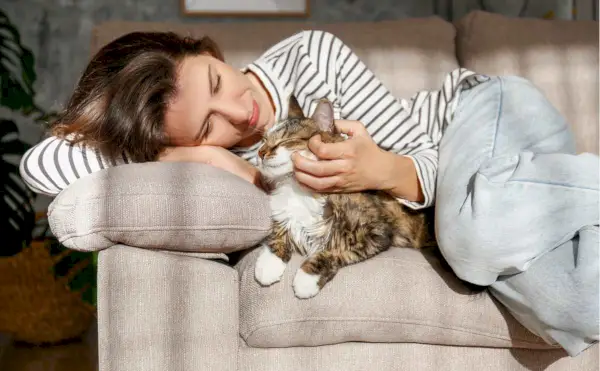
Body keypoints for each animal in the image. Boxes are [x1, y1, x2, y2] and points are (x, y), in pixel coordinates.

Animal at [253, 96, 436, 300]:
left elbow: (335, 251)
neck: (297, 187)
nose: (260, 153)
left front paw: (306, 279)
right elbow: (278, 236)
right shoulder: (284, 214)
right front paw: (268, 266)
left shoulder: (376, 233)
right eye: (264, 140)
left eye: (286, 140)